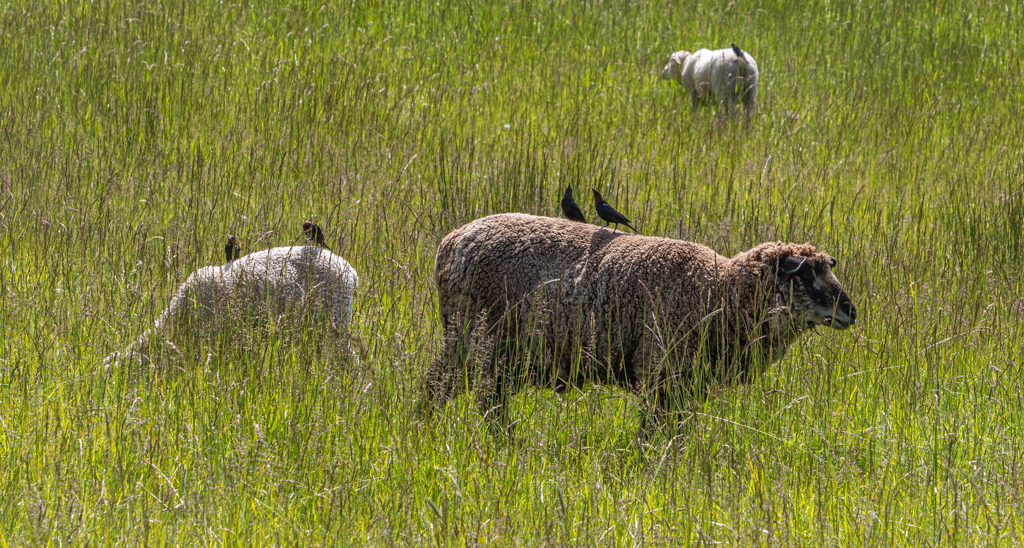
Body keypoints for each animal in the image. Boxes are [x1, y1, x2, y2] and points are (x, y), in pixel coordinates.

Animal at [417, 214, 856, 432]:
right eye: (806, 276)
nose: (852, 312)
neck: (717, 290)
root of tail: (450, 243)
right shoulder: (659, 370)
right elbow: (656, 433)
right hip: (480, 338)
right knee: (468, 395)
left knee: (445, 387)